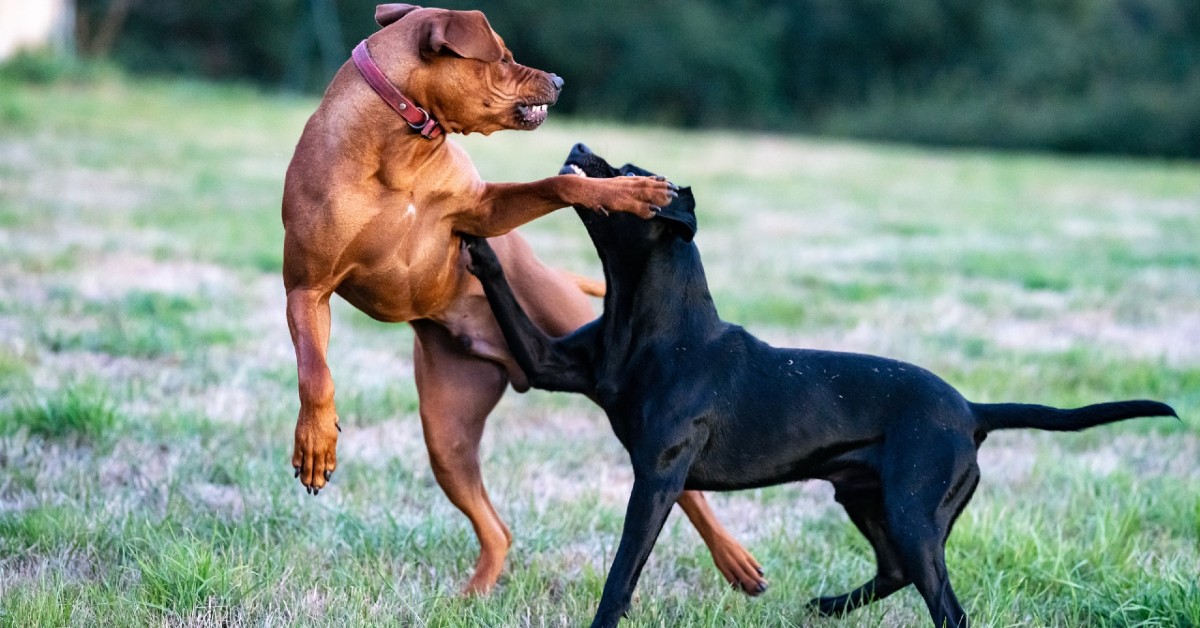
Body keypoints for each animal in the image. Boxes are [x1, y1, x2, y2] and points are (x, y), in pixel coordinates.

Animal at [283, 3, 758, 595]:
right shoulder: (306, 291)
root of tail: (510, 363)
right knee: (497, 528)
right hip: (447, 437)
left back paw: (735, 559)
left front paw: (626, 191)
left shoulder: (483, 210)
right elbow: (315, 372)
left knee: (688, 491)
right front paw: (315, 442)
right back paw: (475, 595)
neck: (400, 147)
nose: (558, 79)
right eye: (504, 57)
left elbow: (560, 184)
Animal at [458, 143, 1171, 628]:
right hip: (866, 499)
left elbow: (623, 570)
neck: (655, 321)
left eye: (631, 174)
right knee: (894, 572)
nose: (579, 147)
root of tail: (972, 410)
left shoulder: (657, 475)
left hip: (913, 512)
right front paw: (473, 236)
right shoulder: (549, 366)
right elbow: (505, 297)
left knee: (946, 606)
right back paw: (826, 606)